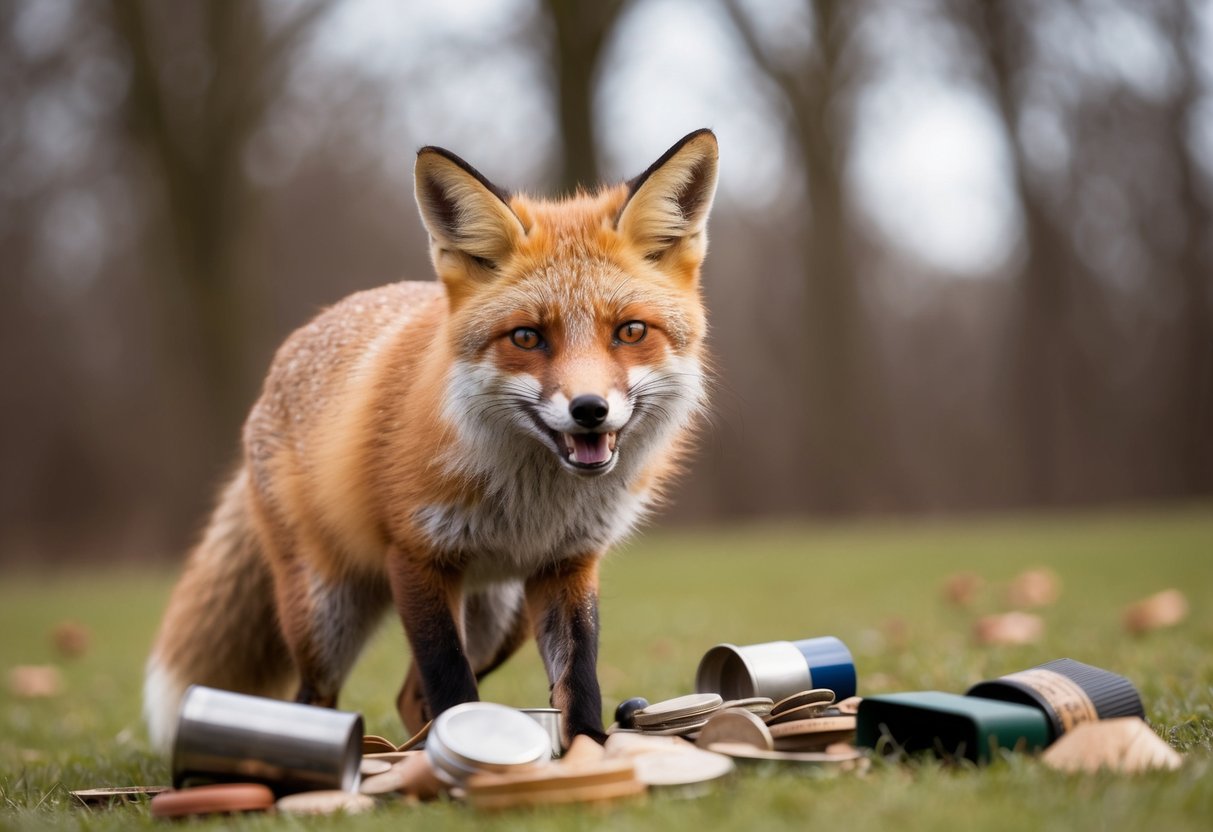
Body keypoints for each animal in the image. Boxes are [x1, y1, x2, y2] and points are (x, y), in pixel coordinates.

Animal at [143, 128, 719, 751]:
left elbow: (578, 680)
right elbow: (449, 680)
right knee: (316, 696)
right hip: (326, 613)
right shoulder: (417, 556)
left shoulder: (567, 563)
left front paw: (589, 751)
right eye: (527, 337)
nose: (589, 410)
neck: (532, 503)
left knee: (407, 696)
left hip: (502, 619)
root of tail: (294, 346)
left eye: (631, 331)